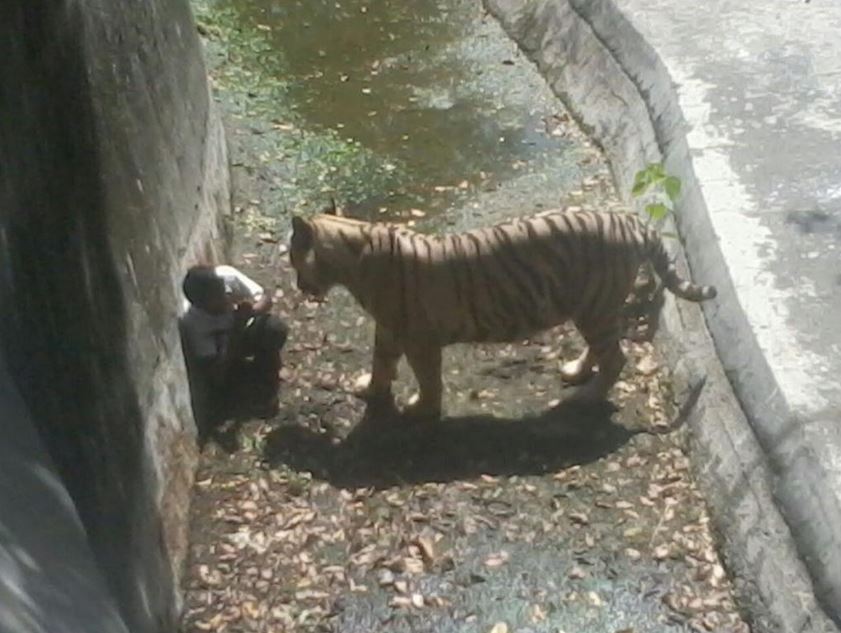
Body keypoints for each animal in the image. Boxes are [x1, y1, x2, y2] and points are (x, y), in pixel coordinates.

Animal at [288, 204, 716, 420]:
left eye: (293, 257)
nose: (297, 285)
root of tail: (632, 222)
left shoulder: (419, 339)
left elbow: (428, 379)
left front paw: (421, 408)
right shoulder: (390, 329)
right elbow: (381, 362)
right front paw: (371, 389)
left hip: (595, 307)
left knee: (616, 357)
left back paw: (586, 397)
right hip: (591, 309)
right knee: (602, 349)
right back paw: (576, 372)